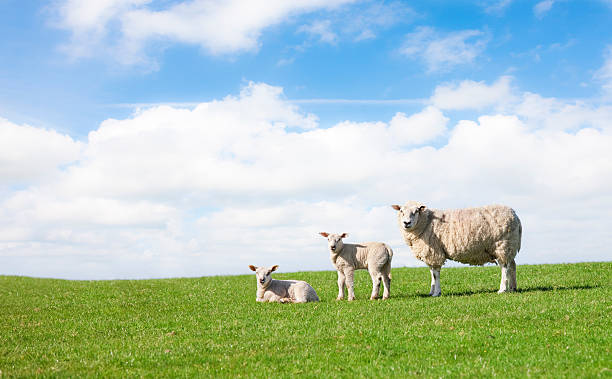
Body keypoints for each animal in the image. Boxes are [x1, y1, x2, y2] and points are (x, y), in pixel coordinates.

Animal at [392, 202, 520, 296]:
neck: (426, 222)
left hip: (502, 246)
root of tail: (515, 216)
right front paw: (431, 292)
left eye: (416, 211)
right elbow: (432, 273)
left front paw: (437, 293)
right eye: (401, 211)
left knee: (504, 267)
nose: (406, 223)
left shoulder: (435, 253)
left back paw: (502, 289)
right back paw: (513, 288)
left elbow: (436, 274)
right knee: (512, 266)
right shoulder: (430, 254)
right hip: (510, 246)